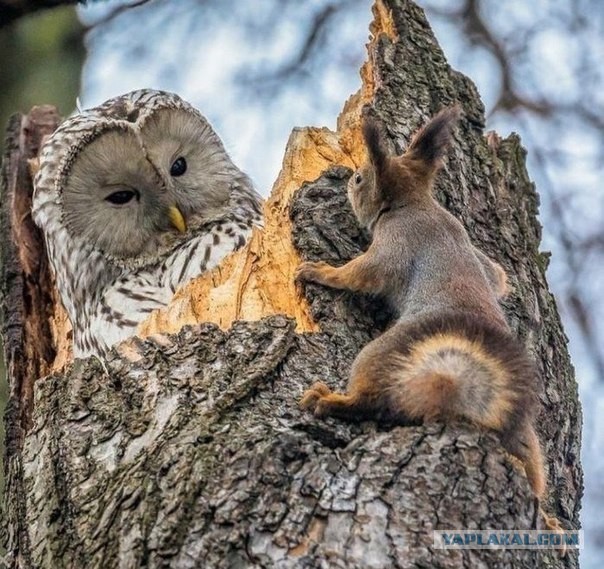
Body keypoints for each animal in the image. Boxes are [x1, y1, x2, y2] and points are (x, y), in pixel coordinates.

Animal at [296, 105, 560, 532]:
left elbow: (359, 275)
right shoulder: (475, 250)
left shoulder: (395, 245)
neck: (416, 204)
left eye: (360, 178)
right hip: (521, 428)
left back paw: (330, 400)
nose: (347, 179)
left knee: (372, 402)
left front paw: (318, 271)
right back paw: (548, 517)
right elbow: (499, 277)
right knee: (529, 462)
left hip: (382, 354)